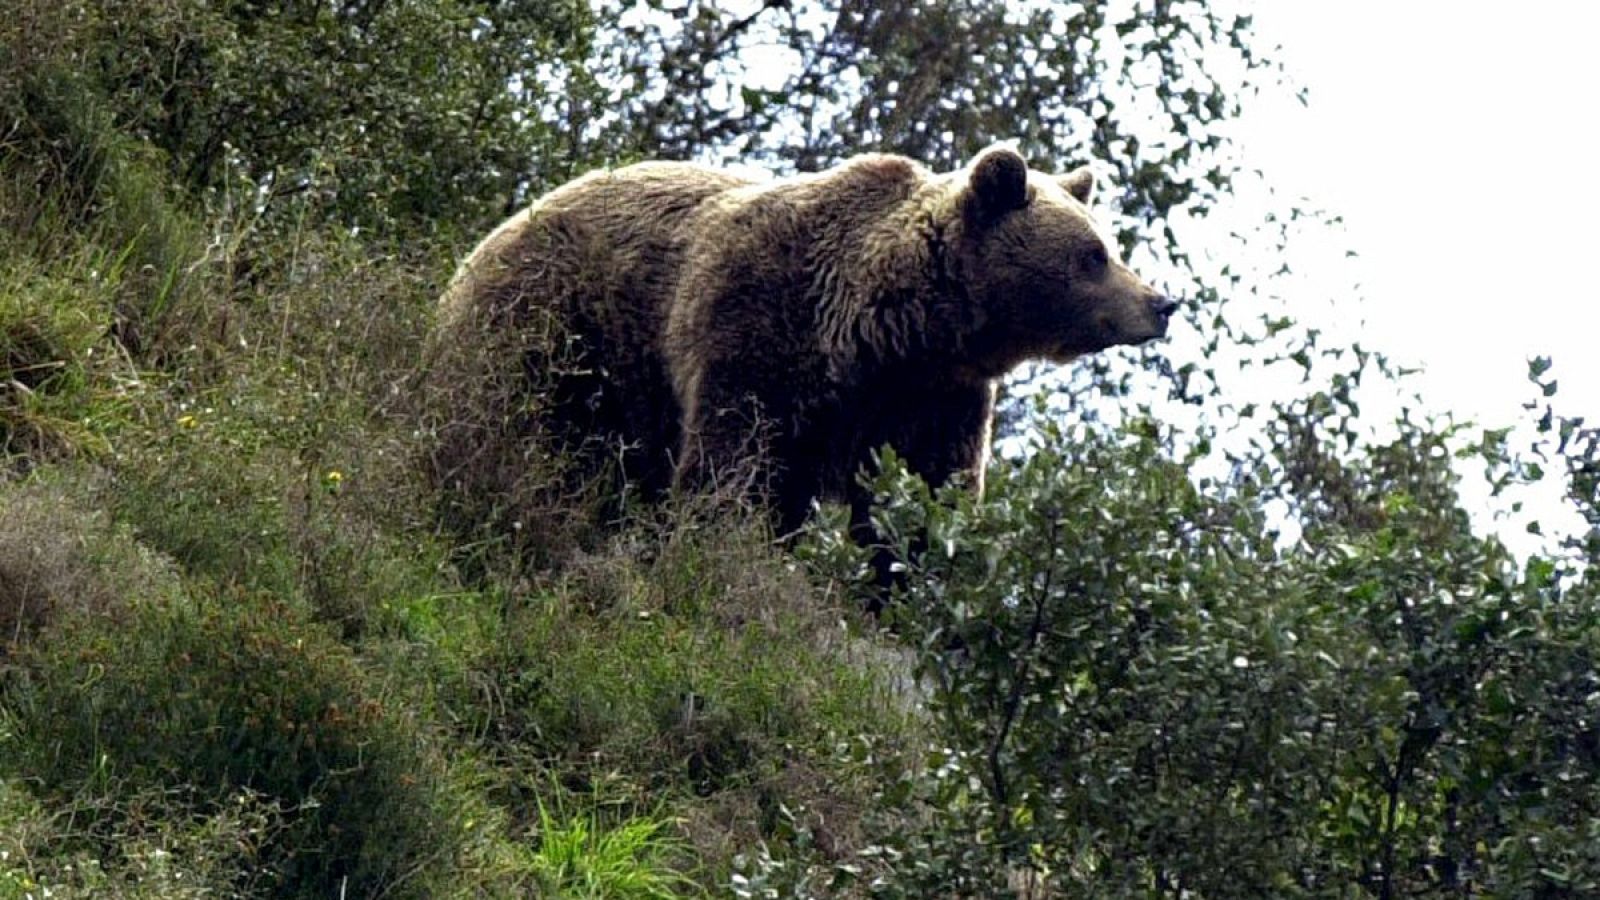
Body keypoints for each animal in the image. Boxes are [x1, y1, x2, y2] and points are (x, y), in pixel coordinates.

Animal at [428, 145, 1175, 555]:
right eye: (1094, 255)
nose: (1161, 303)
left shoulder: (932, 398)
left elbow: (927, 497)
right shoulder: (759, 324)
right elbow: (736, 463)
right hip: (557, 329)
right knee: (522, 424)